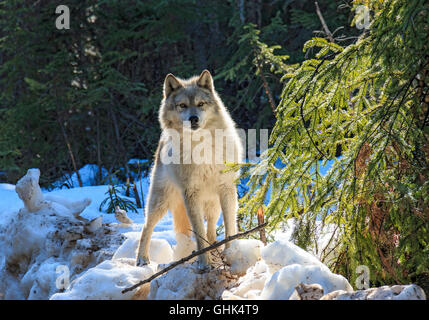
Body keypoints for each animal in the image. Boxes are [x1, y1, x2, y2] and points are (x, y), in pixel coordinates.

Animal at [137, 70, 244, 268]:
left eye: (200, 104)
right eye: (182, 105)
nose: (193, 118)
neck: (201, 147)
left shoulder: (226, 189)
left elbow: (229, 227)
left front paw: (230, 252)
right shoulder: (191, 195)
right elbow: (198, 232)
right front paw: (204, 263)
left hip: (212, 204)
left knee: (211, 230)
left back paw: (216, 249)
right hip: (161, 200)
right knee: (146, 227)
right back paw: (141, 259)